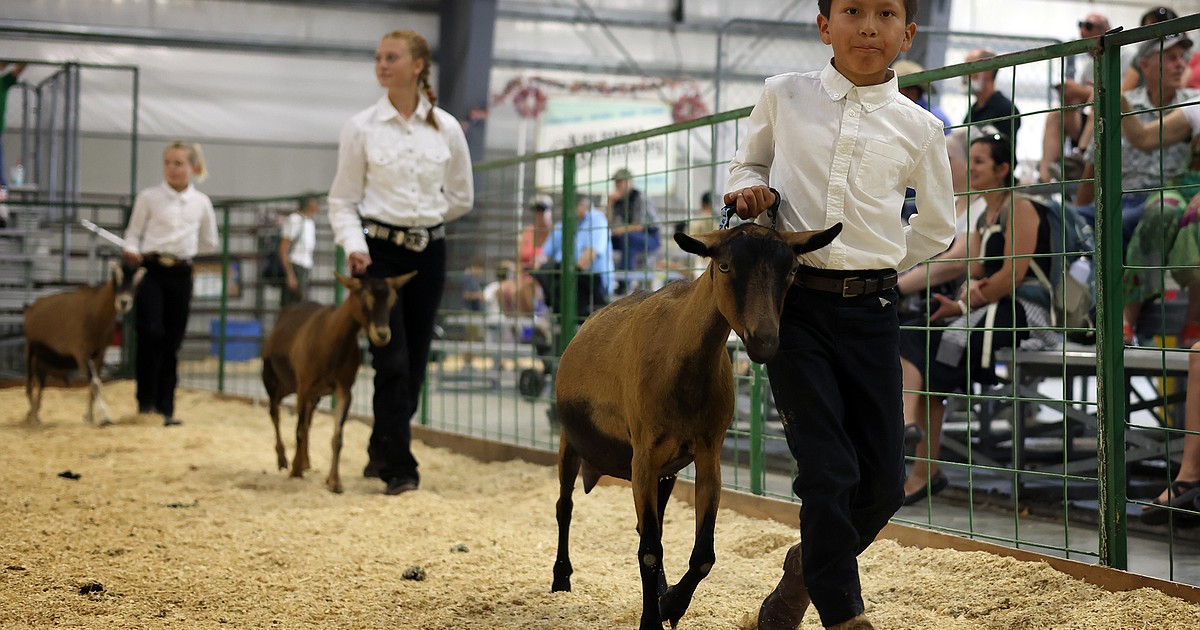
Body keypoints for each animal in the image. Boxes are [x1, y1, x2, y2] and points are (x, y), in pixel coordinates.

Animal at [24, 258, 148, 424]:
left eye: (137, 282)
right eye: (117, 277)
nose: (124, 302)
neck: (94, 312)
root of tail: (31, 308)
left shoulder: (100, 352)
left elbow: (94, 382)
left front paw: (89, 417)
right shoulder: (80, 352)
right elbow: (95, 383)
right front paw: (105, 417)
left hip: (45, 358)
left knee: (41, 382)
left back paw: (36, 415)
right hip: (30, 350)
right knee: (29, 384)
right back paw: (32, 416)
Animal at [261, 272, 412, 494]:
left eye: (392, 301)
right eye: (363, 299)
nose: (382, 334)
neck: (330, 340)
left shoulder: (344, 390)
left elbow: (336, 437)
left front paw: (334, 482)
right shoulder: (304, 385)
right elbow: (298, 429)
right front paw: (295, 470)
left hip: (309, 393)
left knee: (307, 420)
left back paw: (305, 461)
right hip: (274, 379)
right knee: (275, 412)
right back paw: (283, 460)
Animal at [549, 222, 840, 628]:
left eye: (792, 271)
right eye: (724, 266)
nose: (765, 342)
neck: (680, 360)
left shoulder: (707, 453)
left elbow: (700, 554)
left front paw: (671, 604)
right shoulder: (643, 454)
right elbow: (649, 550)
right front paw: (651, 620)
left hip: (666, 471)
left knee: (646, 526)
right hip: (571, 441)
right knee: (565, 506)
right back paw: (561, 577)